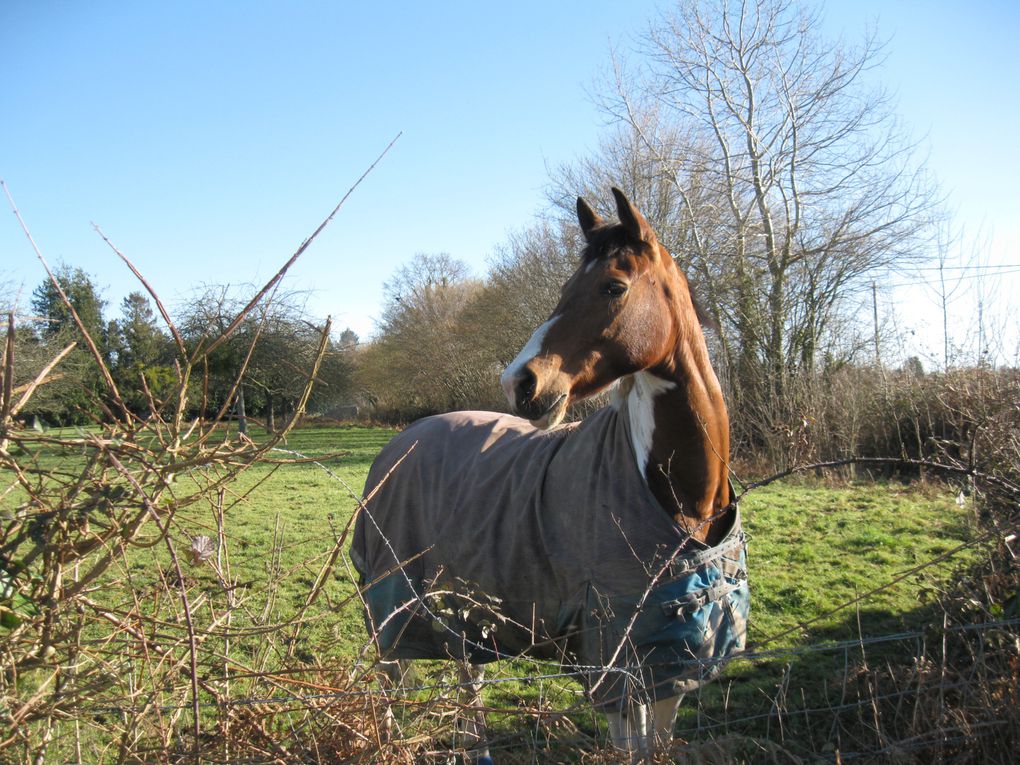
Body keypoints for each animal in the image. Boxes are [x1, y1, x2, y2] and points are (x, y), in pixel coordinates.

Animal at [350, 187, 750, 762]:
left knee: (466, 673)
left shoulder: (675, 655)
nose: (518, 381)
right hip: (392, 603)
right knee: (388, 680)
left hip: (459, 606)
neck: (680, 498)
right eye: (565, 288)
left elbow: (656, 742)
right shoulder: (612, 660)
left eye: (613, 286)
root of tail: (399, 443)